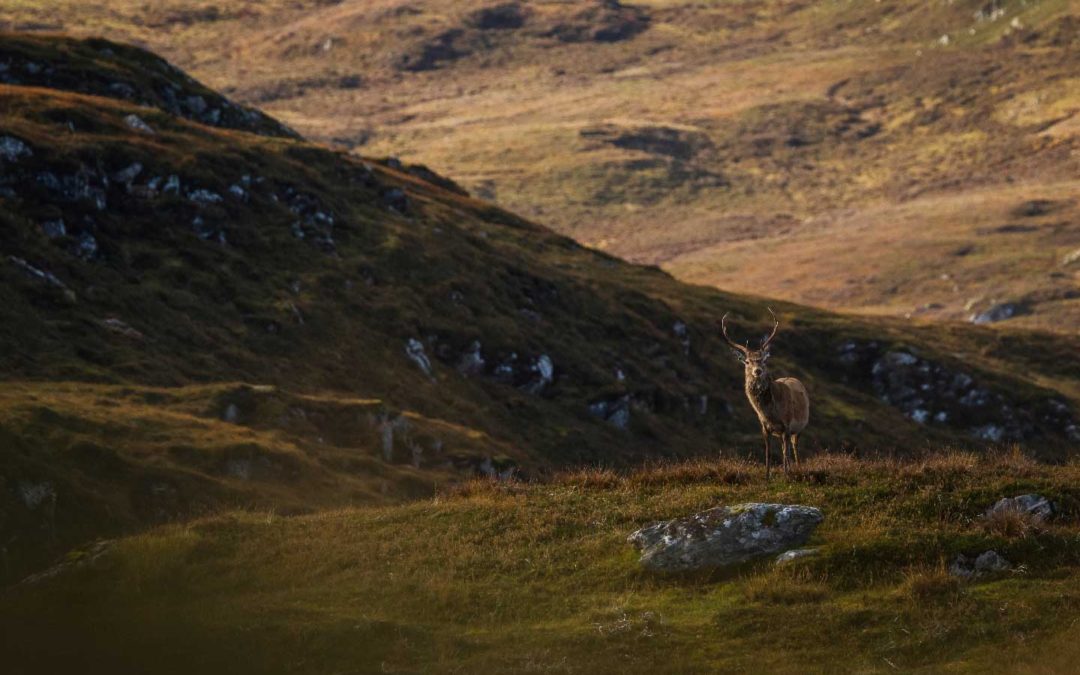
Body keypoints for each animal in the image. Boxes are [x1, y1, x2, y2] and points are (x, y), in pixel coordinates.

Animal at [721, 308, 807, 477]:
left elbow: (785, 453)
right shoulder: (765, 427)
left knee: (793, 447)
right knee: (785, 447)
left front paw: (786, 475)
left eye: (763, 360)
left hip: (800, 426)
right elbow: (768, 453)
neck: (771, 412)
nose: (758, 371)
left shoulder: (787, 425)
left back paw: (798, 468)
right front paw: (767, 476)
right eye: (747, 361)